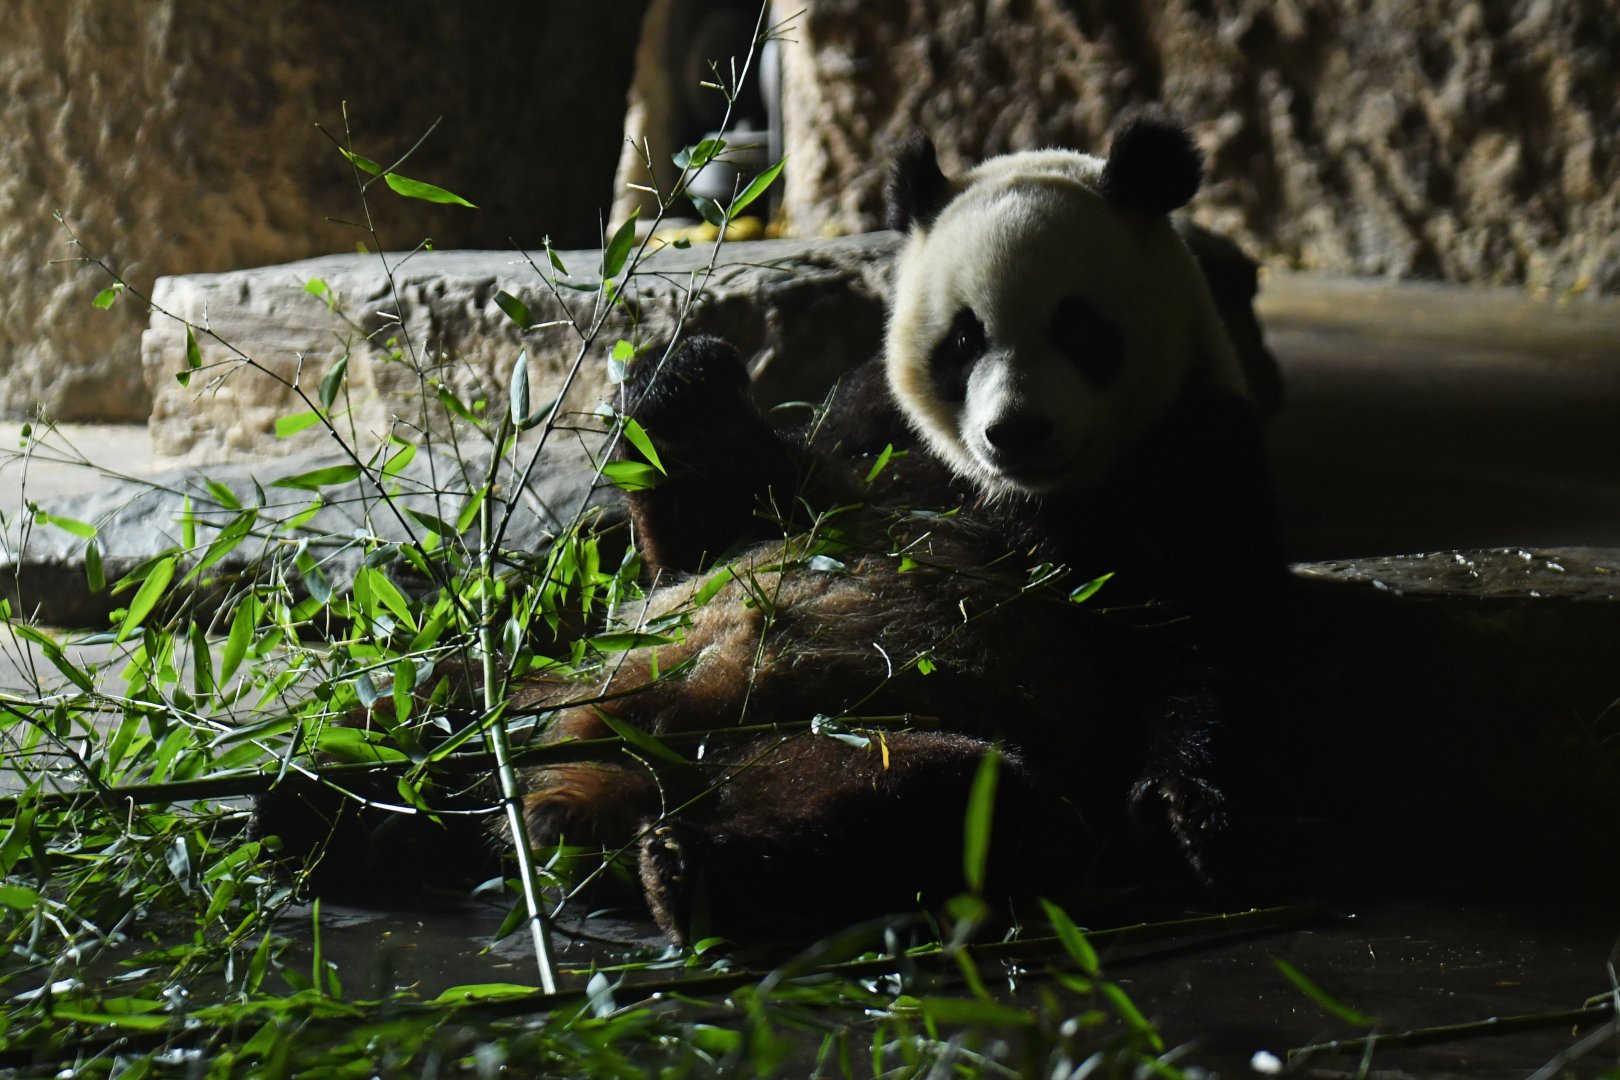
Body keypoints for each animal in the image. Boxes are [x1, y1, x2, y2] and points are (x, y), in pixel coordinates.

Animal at [508, 111, 1284, 943]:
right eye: (965, 341)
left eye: (1079, 329)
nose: (1017, 430)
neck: (1009, 490)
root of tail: (649, 777)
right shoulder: (867, 421)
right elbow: (713, 534)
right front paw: (678, 382)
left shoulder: (1191, 453)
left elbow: (1198, 639)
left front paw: (1183, 816)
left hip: (862, 732)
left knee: (945, 800)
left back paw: (692, 871)